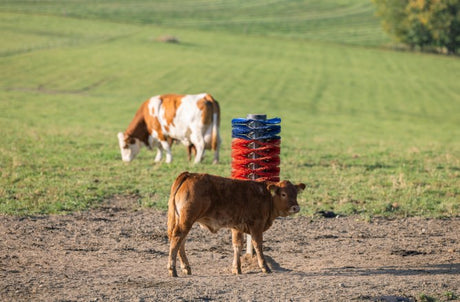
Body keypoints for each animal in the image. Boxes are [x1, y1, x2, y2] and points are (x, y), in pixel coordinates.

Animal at [166, 171, 306, 278]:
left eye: (296, 194)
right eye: (283, 194)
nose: (296, 207)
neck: (266, 197)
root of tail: (189, 175)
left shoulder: (237, 227)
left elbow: (237, 246)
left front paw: (236, 268)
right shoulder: (257, 225)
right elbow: (258, 245)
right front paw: (264, 267)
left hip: (183, 220)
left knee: (181, 242)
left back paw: (186, 267)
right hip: (186, 220)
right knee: (177, 239)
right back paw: (172, 269)